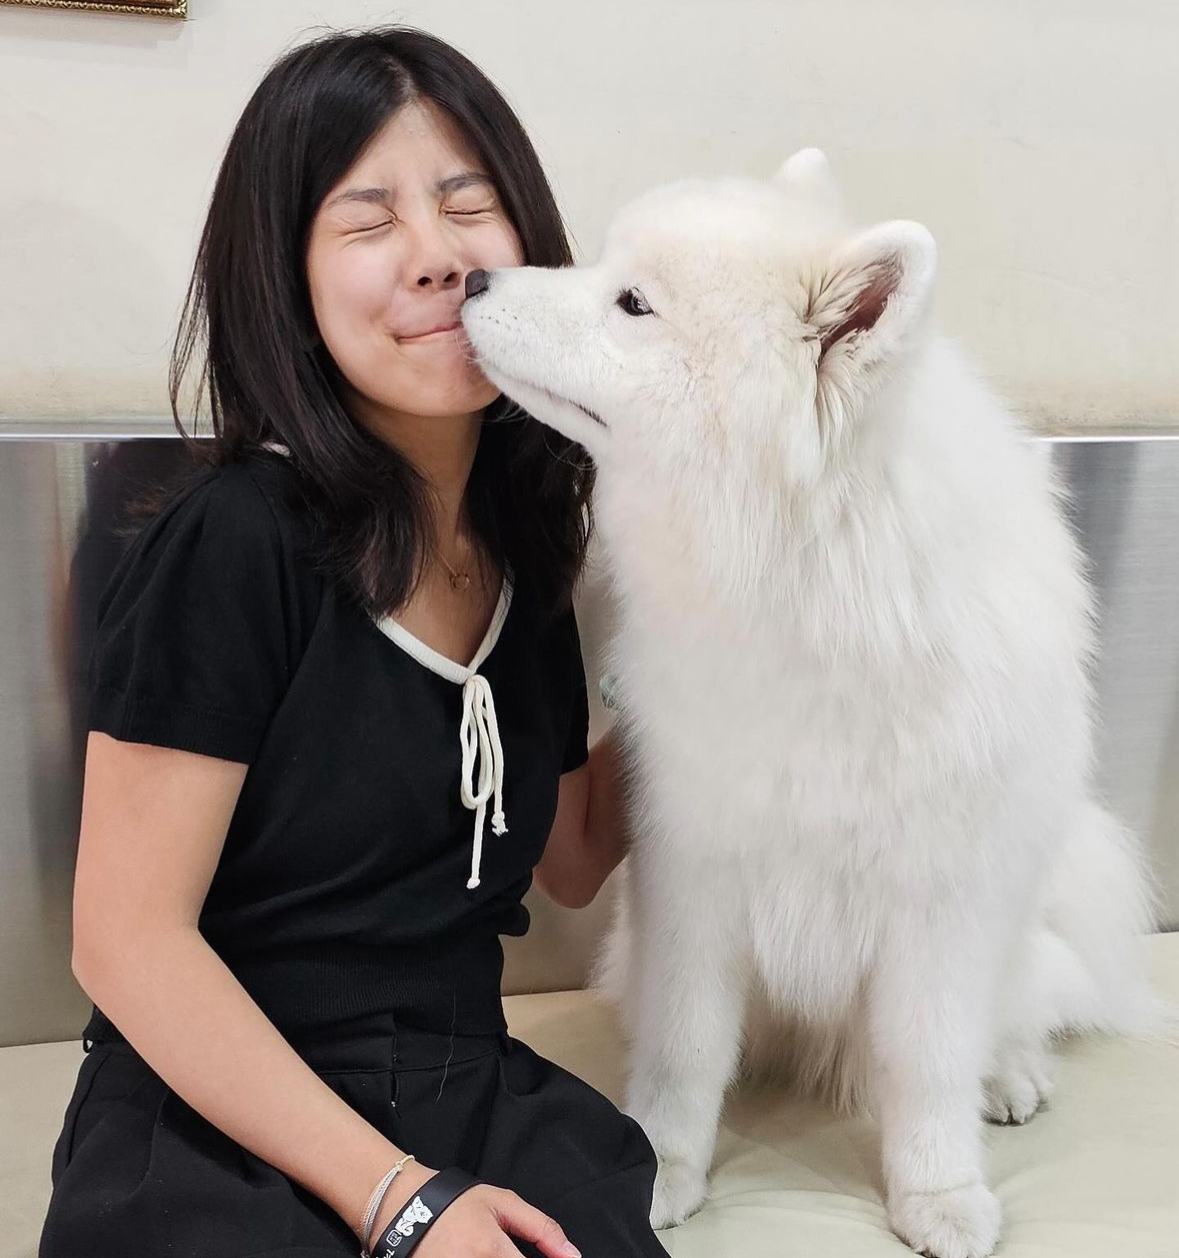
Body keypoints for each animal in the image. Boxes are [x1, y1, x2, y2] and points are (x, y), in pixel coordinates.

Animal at [458, 149, 1152, 1258]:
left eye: (632, 303)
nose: (473, 279)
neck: (814, 588)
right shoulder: (691, 872)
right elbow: (688, 1047)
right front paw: (663, 1165)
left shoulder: (939, 904)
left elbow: (925, 1064)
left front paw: (939, 1194)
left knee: (1013, 1012)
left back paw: (1009, 1077)